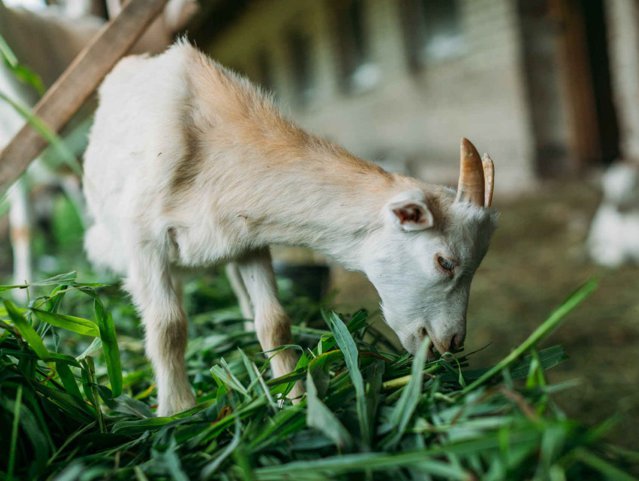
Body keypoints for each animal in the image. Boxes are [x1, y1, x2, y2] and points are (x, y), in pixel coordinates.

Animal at [82, 43, 498, 414]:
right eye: (445, 262)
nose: (452, 342)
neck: (212, 147)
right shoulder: (144, 240)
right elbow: (168, 327)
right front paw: (179, 411)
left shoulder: (246, 239)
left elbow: (274, 323)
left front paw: (293, 400)